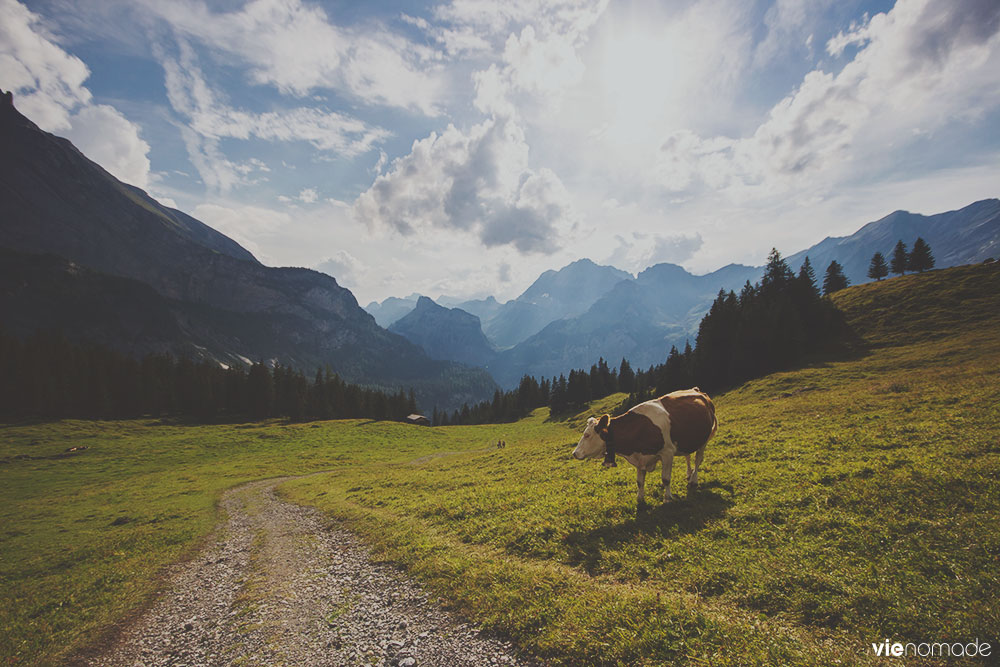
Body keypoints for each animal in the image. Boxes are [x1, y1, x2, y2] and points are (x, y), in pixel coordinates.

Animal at [576, 388, 716, 504]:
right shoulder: (640, 457)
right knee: (688, 456)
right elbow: (639, 482)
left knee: (698, 459)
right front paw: (640, 499)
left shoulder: (667, 453)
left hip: (704, 440)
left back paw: (693, 480)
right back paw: (688, 474)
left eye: (587, 435)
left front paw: (667, 498)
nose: (575, 453)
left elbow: (665, 479)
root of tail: (696, 390)